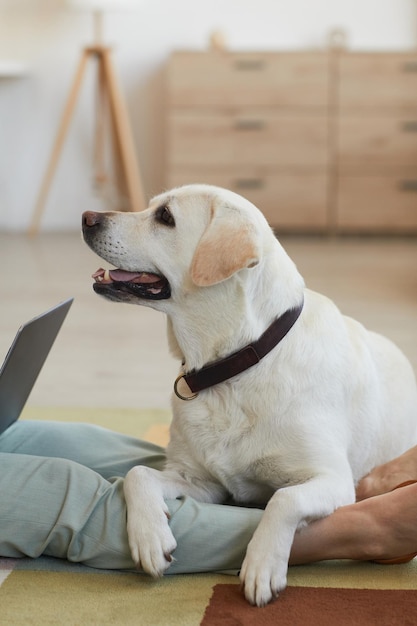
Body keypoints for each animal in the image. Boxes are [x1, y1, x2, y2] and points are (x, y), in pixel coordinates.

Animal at [81, 183, 416, 604]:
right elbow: (137, 474)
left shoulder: (333, 479)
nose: (86, 217)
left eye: (165, 217)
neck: (237, 363)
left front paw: (262, 565)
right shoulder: (202, 482)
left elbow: (283, 499)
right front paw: (150, 537)